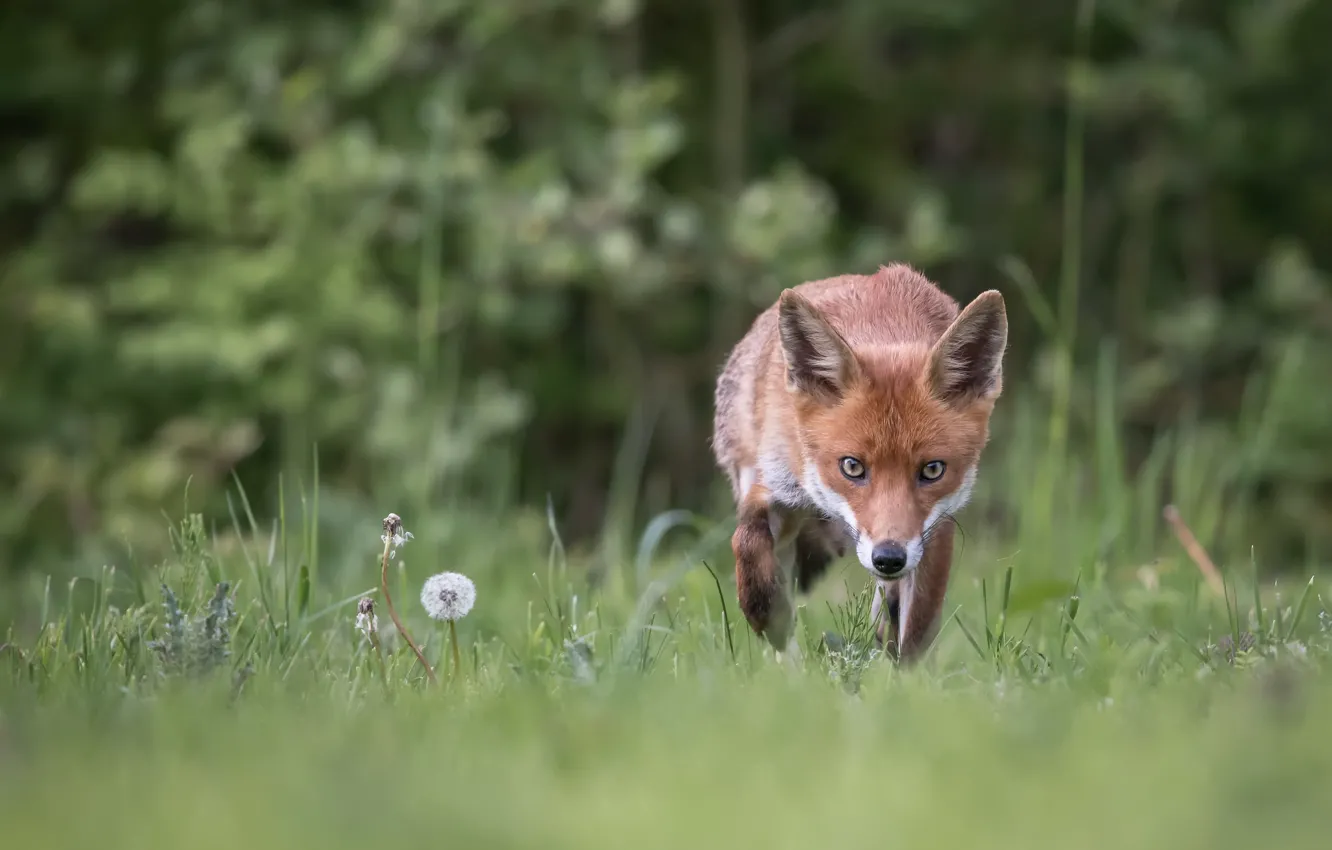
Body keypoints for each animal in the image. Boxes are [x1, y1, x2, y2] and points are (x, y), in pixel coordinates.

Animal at [713, 263, 1001, 663]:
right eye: (852, 467)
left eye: (932, 470)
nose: (889, 558)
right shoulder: (778, 483)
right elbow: (748, 541)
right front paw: (770, 619)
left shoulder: (936, 527)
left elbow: (915, 628)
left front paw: (900, 675)